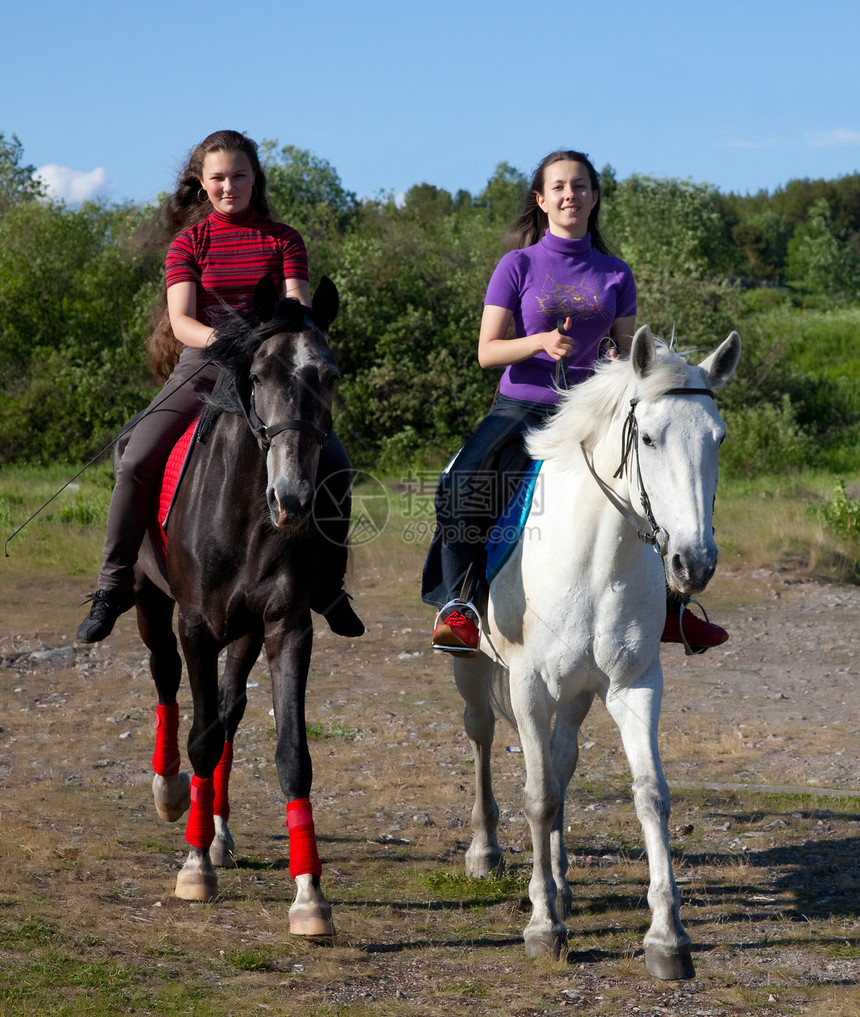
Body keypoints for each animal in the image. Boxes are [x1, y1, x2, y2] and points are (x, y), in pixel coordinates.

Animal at [128, 276, 343, 935]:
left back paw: (217, 831)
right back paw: (171, 792)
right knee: (167, 681)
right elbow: (200, 737)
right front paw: (195, 868)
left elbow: (291, 754)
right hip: (152, 606)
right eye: (260, 374)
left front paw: (309, 896)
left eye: (329, 375)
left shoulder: (285, 627)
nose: (293, 500)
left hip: (243, 631)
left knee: (228, 712)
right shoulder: (195, 626)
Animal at [455, 323, 744, 976]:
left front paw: (667, 938)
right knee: (483, 734)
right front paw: (543, 928)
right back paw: (486, 852)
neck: (594, 559)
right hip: (472, 666)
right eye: (652, 438)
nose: (694, 564)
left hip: (580, 690)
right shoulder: (529, 685)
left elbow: (650, 796)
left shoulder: (633, 684)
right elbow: (537, 797)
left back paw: (561, 885)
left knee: (562, 762)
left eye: (718, 439)